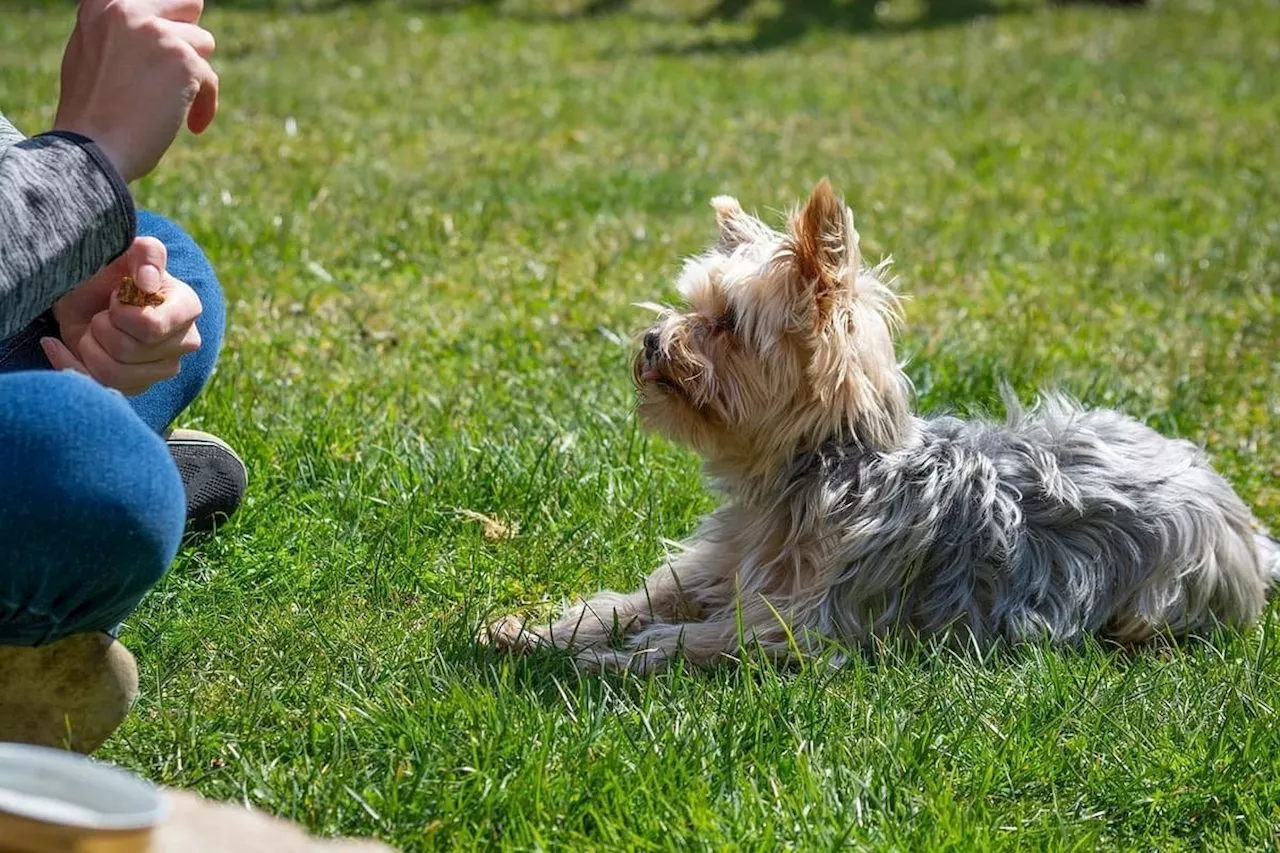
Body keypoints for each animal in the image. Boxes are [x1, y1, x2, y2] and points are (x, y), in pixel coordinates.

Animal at [483, 178, 1274, 671]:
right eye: (689, 304)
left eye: (727, 322)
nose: (652, 342)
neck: (814, 469)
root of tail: (1241, 519)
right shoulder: (717, 566)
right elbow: (635, 600)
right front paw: (538, 631)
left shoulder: (801, 622)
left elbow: (701, 638)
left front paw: (612, 658)